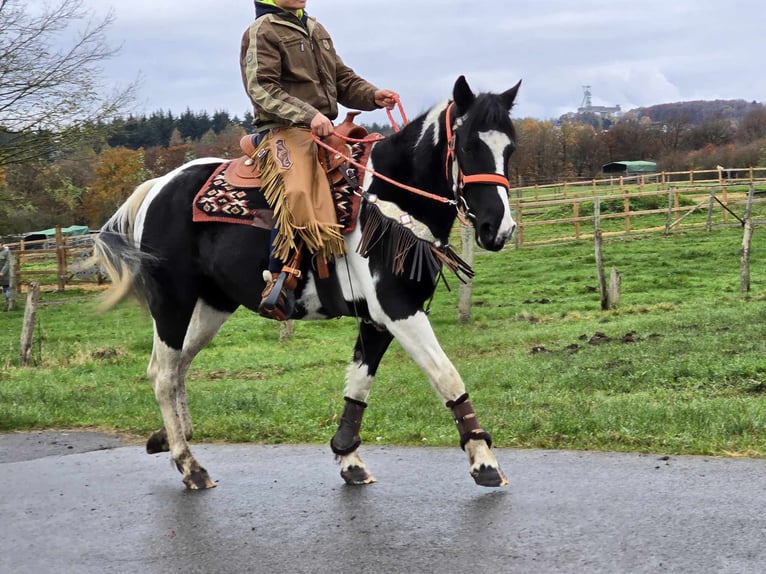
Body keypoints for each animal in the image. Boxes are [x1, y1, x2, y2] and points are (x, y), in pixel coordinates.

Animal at [90, 75, 520, 490]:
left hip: (213, 305)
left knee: (175, 366)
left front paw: (349, 458)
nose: (498, 228)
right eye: (468, 146)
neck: (389, 197)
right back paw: (189, 465)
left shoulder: (376, 320)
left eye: (510, 149)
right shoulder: (398, 310)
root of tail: (157, 187)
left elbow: (358, 386)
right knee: (164, 375)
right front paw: (484, 461)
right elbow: (446, 375)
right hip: (172, 301)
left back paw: (168, 437)